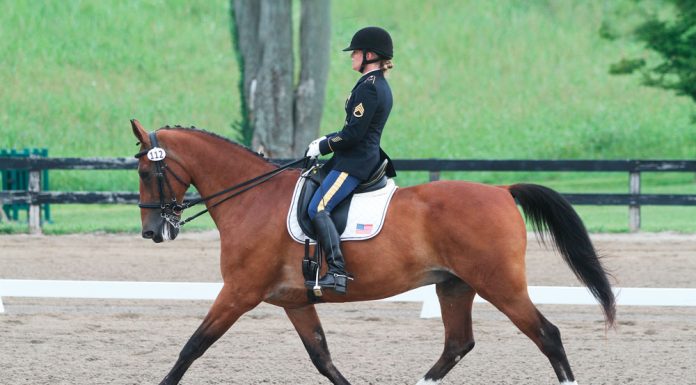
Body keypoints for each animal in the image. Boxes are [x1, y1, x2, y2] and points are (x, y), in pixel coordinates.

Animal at [130, 120, 616, 384]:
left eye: (145, 172)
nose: (153, 231)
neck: (253, 198)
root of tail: (501, 190)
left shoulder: (238, 292)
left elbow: (193, 346)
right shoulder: (293, 301)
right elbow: (322, 357)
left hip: (500, 284)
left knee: (547, 335)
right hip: (454, 286)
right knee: (458, 343)